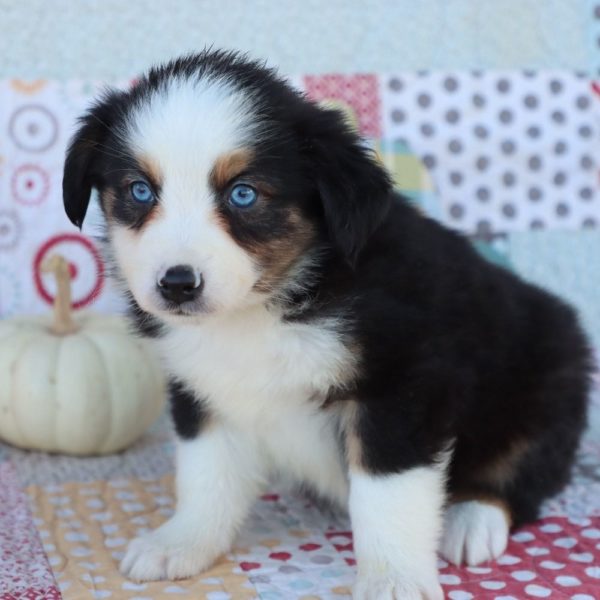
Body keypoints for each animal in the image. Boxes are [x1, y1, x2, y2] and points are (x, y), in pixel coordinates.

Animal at [62, 49, 592, 596]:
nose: (177, 283)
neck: (264, 308)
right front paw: (180, 542)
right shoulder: (205, 389)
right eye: (140, 191)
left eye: (243, 195)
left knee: (525, 475)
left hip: (551, 376)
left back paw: (472, 519)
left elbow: (387, 495)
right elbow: (206, 476)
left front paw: (393, 579)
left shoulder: (400, 383)